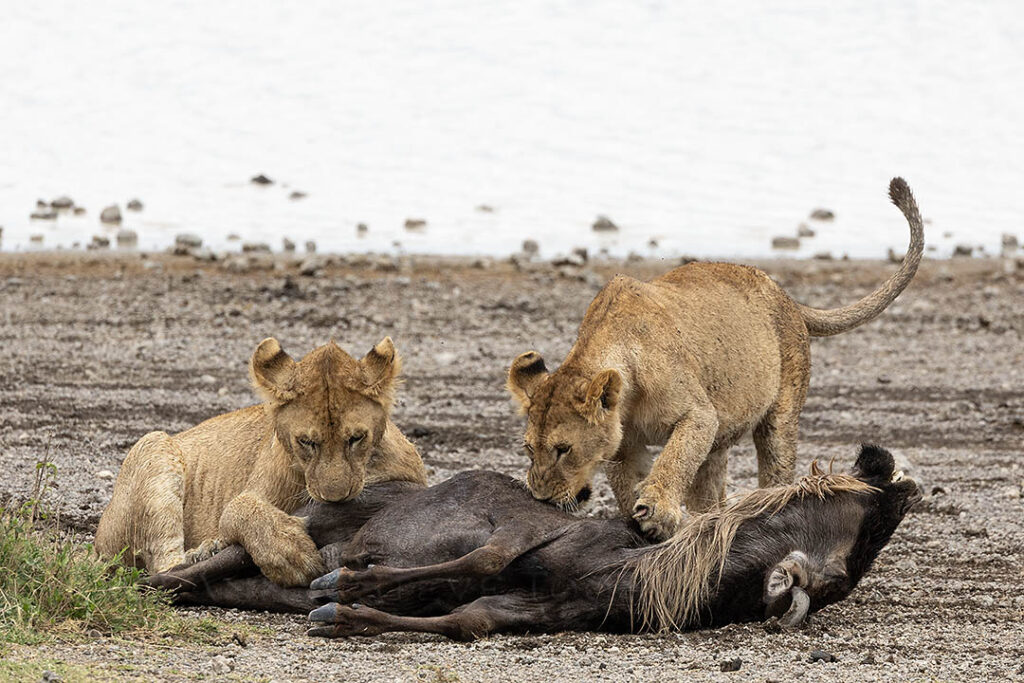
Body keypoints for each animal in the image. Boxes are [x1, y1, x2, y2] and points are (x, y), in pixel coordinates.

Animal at [94, 337, 427, 586]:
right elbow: (237, 508)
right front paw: (289, 552)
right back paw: (203, 552)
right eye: (306, 442)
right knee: (162, 565)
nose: (336, 498)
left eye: (356, 438)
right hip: (154, 443)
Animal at [506, 177, 924, 541]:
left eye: (563, 449)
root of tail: (786, 296)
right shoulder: (624, 444)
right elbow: (630, 481)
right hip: (720, 438)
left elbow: (674, 460)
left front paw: (657, 512)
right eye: (528, 449)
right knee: (711, 493)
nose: (542, 499)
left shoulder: (698, 414)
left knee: (775, 471)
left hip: (779, 419)